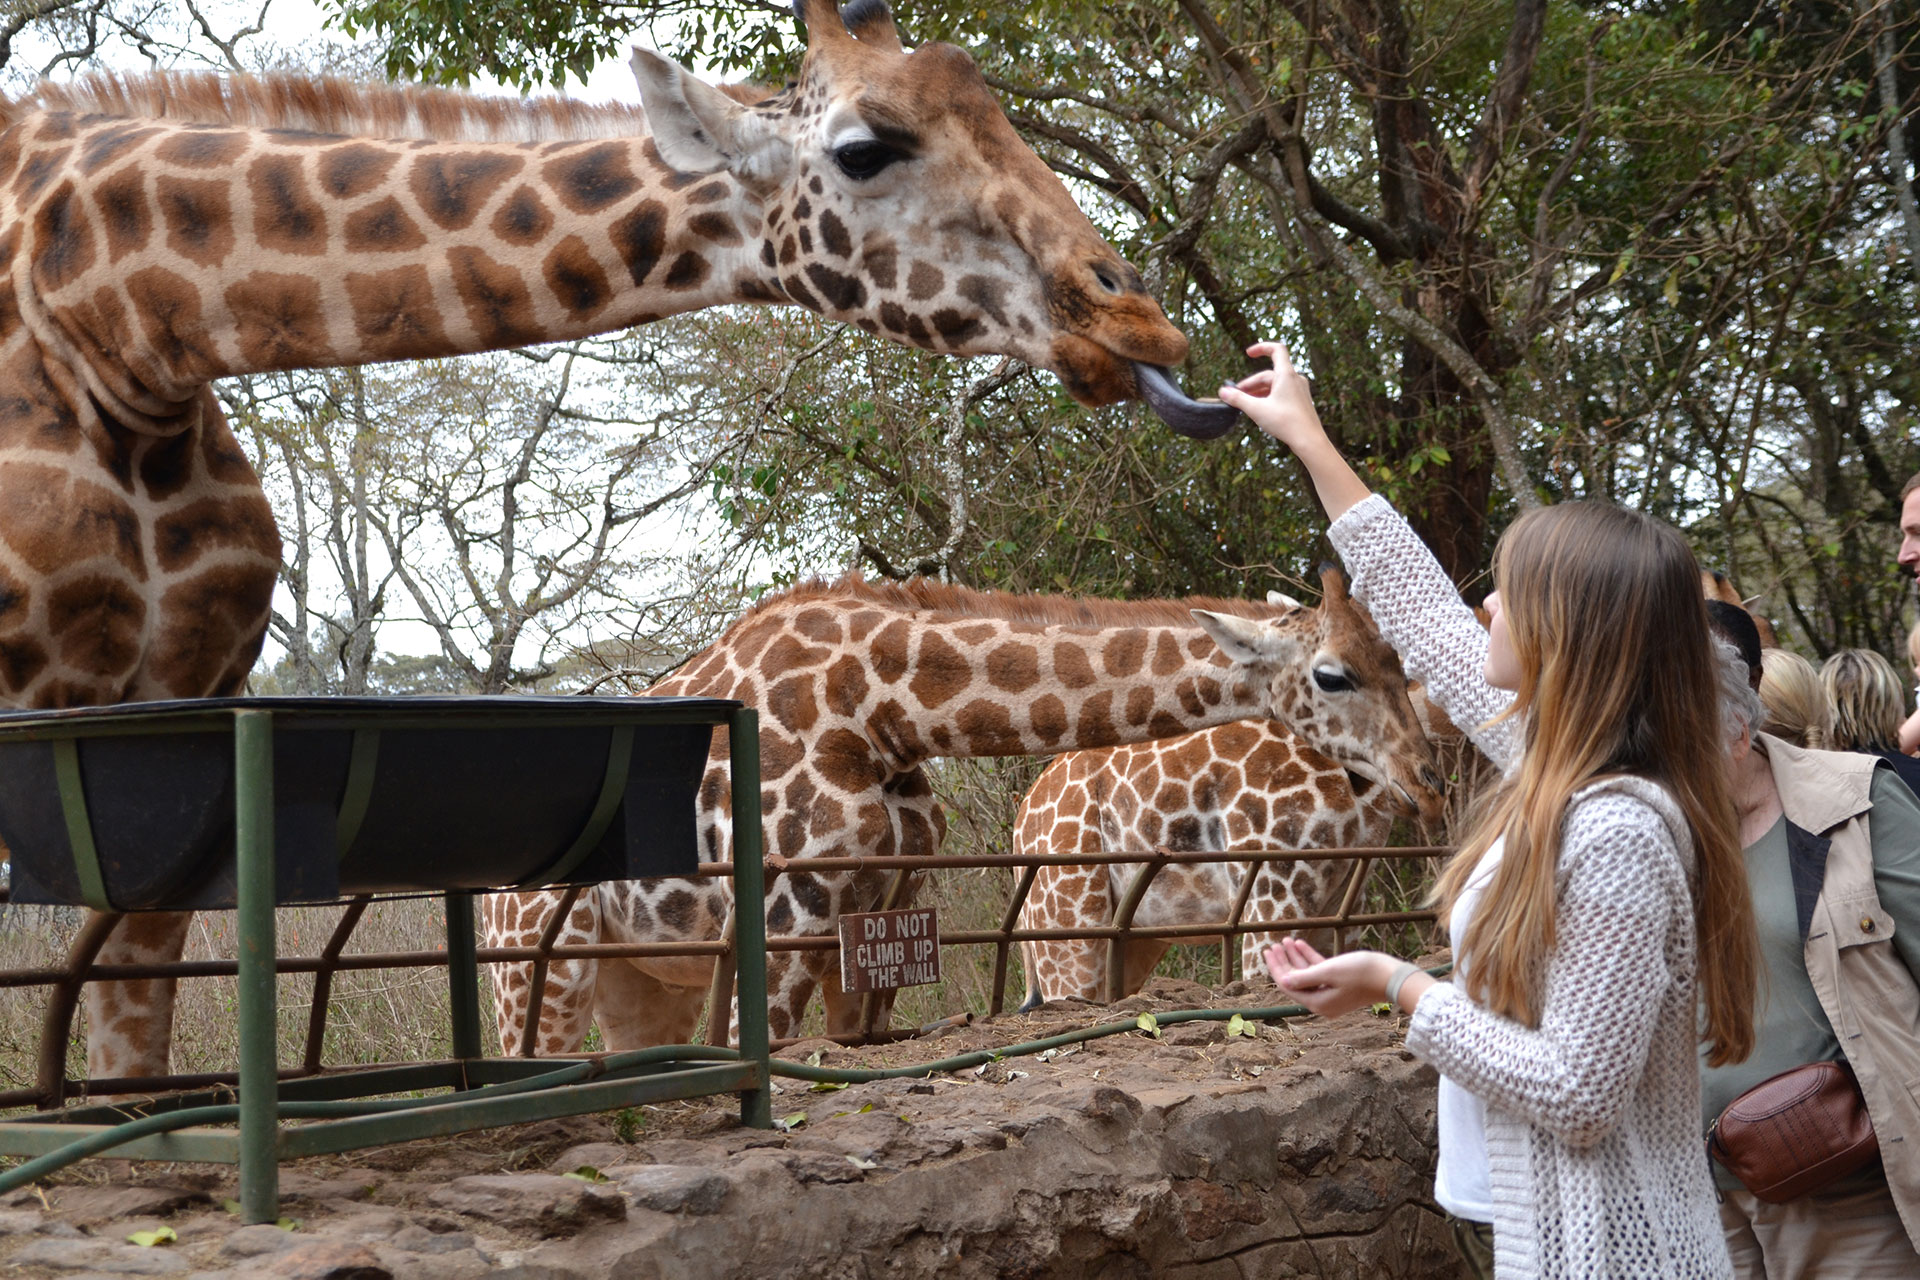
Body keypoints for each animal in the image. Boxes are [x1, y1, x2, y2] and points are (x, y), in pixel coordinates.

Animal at [1021, 568, 1443, 997]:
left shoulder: (1343, 906)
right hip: (1068, 922)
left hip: (1132, 935)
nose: (1428, 786)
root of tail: (1023, 821)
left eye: (1400, 666)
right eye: (1331, 677)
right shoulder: (1273, 889)